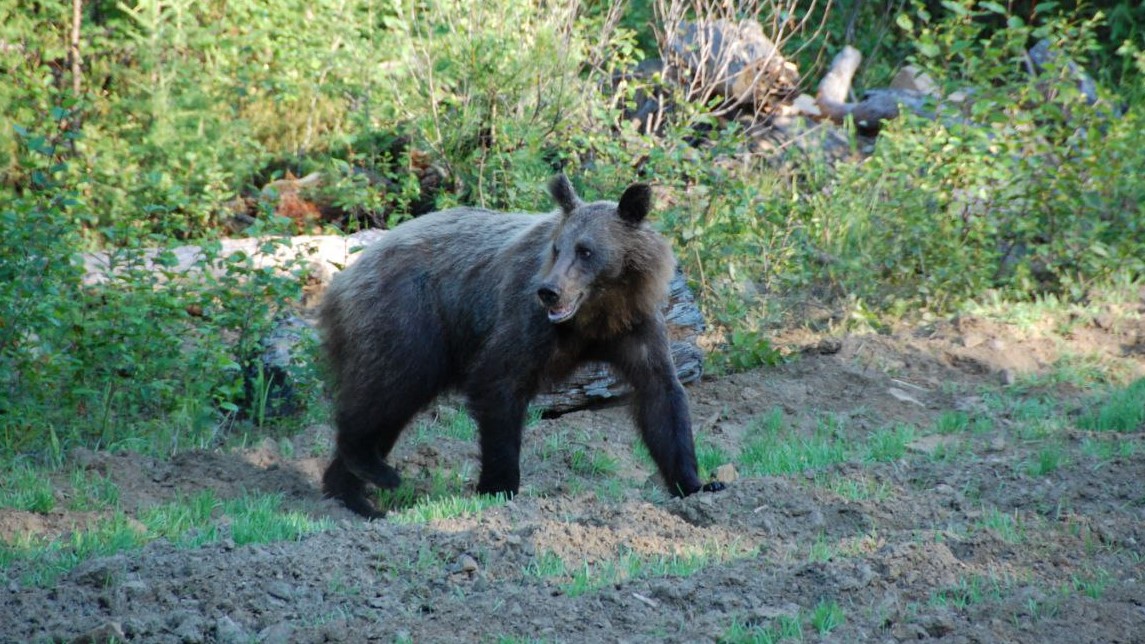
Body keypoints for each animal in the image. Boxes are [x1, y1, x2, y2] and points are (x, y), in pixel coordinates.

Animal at [318, 173, 719, 513]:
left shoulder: (636, 327)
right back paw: (373, 471)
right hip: (409, 315)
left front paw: (697, 484)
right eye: (557, 248)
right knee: (389, 387)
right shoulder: (526, 323)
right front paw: (499, 487)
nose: (549, 291)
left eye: (586, 250)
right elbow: (498, 383)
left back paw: (352, 494)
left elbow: (661, 396)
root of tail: (343, 278)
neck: (597, 314)